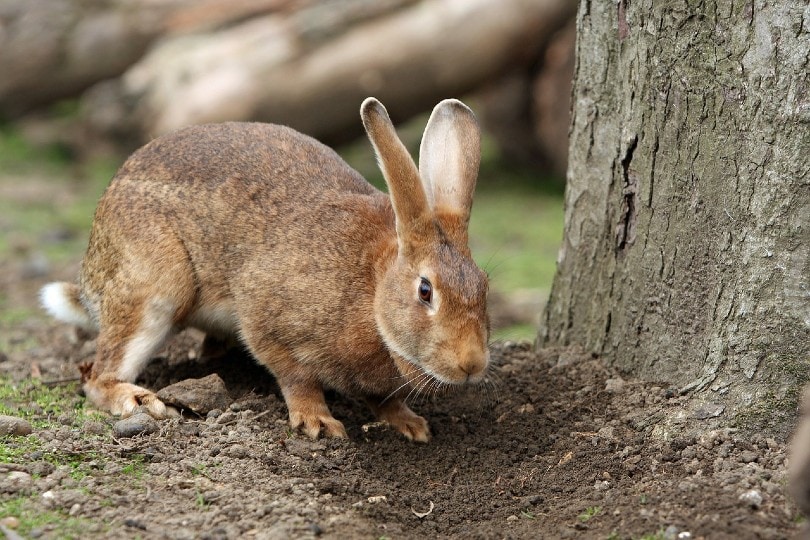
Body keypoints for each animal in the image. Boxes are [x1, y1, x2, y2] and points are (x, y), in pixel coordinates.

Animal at [41, 98, 490, 442]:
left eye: (484, 287)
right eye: (426, 290)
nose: (472, 364)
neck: (373, 288)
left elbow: (384, 399)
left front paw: (411, 425)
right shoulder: (267, 318)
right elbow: (296, 377)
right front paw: (318, 422)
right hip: (154, 286)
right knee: (98, 375)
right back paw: (138, 400)